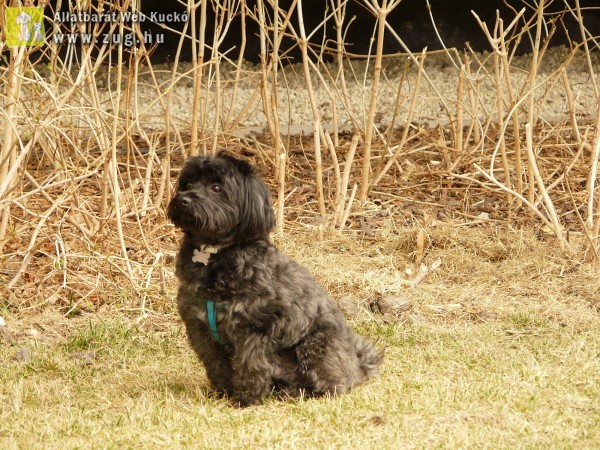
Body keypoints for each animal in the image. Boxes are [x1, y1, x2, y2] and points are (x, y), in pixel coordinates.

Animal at [168, 153, 384, 406]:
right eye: (188, 184)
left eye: (216, 187)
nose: (183, 199)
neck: (213, 254)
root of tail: (358, 364)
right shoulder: (200, 328)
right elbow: (216, 365)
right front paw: (223, 392)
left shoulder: (254, 328)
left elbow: (250, 365)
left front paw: (247, 400)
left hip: (317, 346)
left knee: (331, 385)